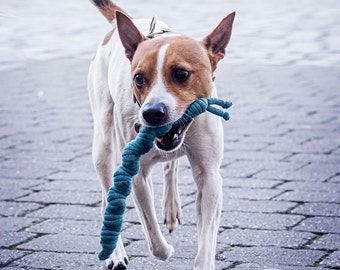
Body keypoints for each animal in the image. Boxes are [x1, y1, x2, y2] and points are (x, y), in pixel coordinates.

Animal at [89, 1, 235, 268]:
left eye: (181, 74)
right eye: (138, 78)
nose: (152, 113)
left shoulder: (210, 176)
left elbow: (207, 238)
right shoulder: (136, 174)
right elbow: (153, 236)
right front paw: (165, 250)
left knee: (171, 167)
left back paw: (171, 207)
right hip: (103, 142)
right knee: (107, 194)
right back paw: (115, 253)